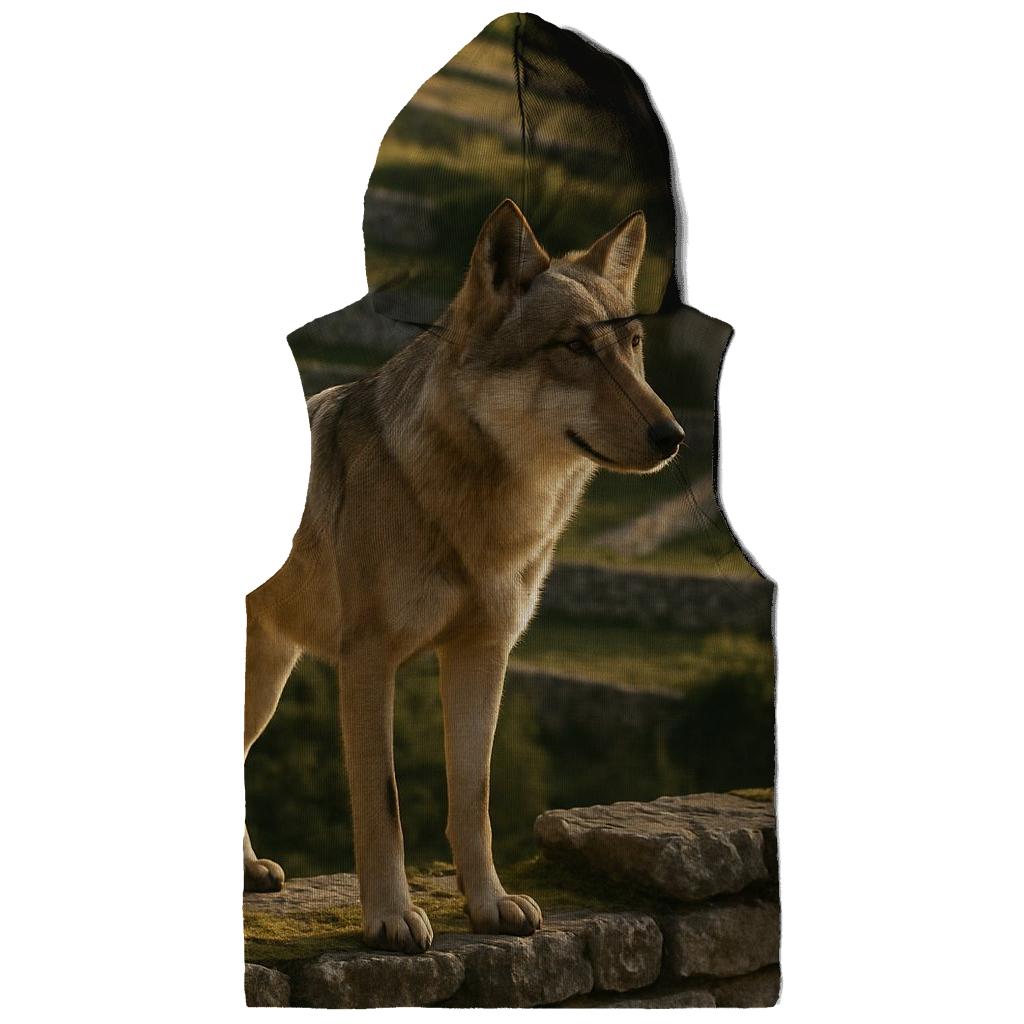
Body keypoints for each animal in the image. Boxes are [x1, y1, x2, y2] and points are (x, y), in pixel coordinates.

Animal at [243, 198, 686, 953]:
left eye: (632, 346)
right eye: (574, 348)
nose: (674, 436)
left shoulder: (483, 654)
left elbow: (473, 798)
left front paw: (491, 906)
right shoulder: (369, 662)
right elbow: (385, 805)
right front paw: (390, 919)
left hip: (268, 682)